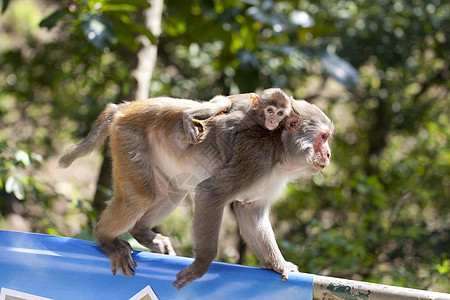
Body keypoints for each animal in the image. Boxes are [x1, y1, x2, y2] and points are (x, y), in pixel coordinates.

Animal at [58, 92, 332, 290]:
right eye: (323, 138)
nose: (329, 154)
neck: (281, 150)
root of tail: (127, 108)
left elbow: (250, 212)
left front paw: (278, 264)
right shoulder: (256, 160)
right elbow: (211, 193)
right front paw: (202, 264)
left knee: (172, 192)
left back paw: (143, 233)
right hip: (128, 136)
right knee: (140, 197)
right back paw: (106, 239)